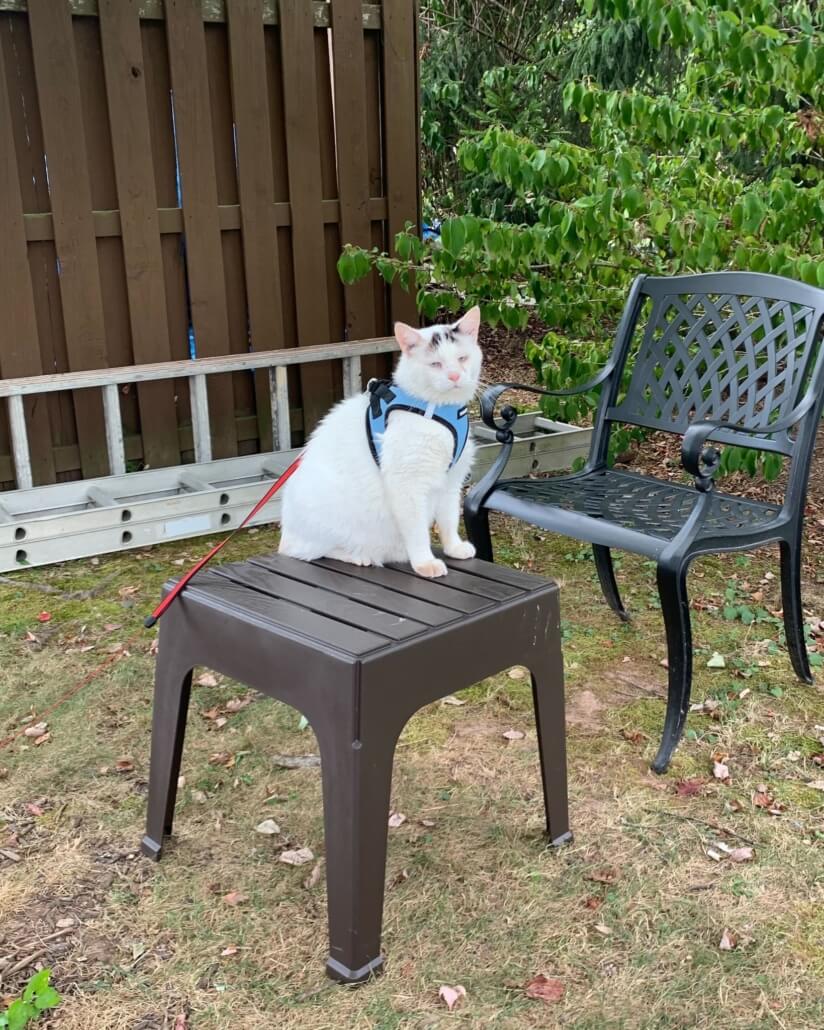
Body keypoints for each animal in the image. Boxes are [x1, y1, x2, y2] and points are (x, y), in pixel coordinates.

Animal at [278, 307, 483, 578]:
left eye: (462, 358)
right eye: (435, 364)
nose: (455, 375)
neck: (440, 410)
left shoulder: (452, 480)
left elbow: (449, 518)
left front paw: (454, 547)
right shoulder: (407, 483)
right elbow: (417, 531)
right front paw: (425, 562)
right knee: (310, 552)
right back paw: (359, 556)